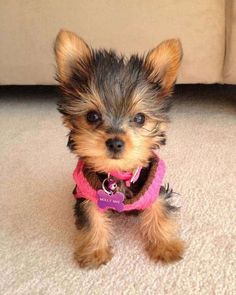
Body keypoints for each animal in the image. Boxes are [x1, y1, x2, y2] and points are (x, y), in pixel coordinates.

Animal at [54, 30, 184, 270]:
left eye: (140, 118)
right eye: (92, 116)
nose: (115, 142)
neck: (118, 173)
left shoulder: (154, 189)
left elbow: (160, 211)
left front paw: (166, 246)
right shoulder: (87, 194)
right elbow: (92, 218)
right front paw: (95, 252)